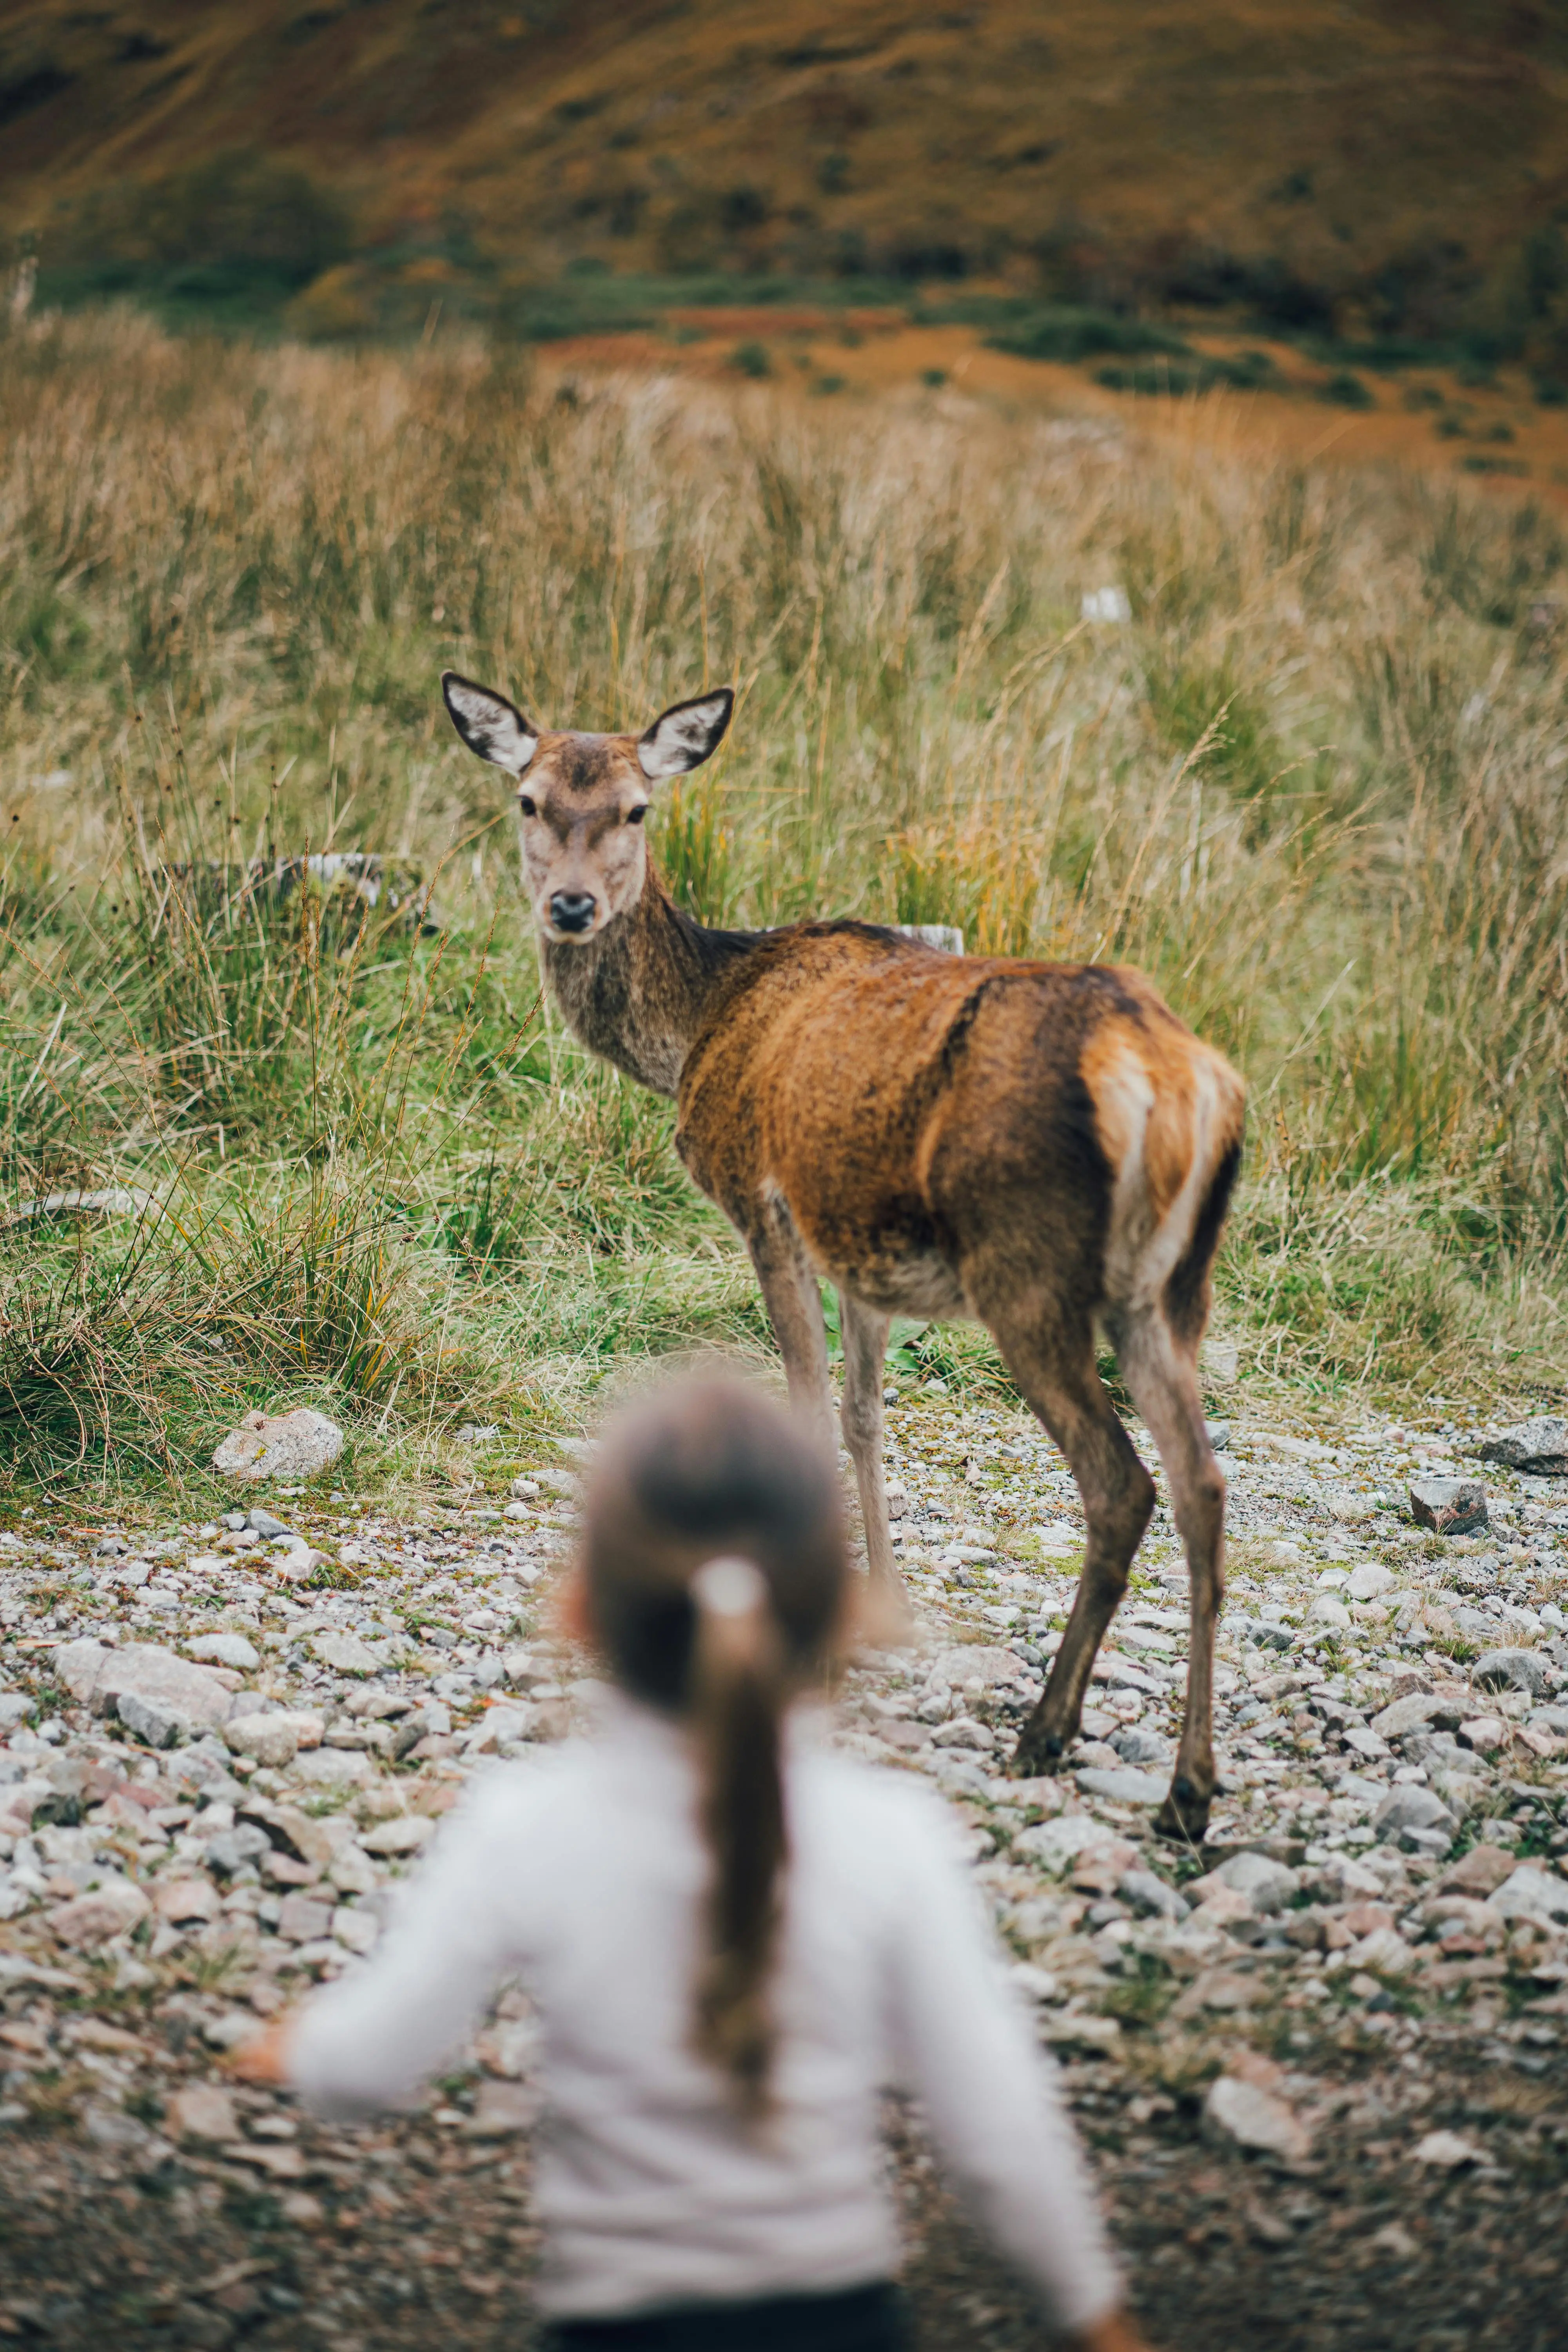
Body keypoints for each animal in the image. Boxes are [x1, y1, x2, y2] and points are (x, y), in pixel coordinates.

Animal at [441, 670, 1245, 1843]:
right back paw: (1187, 1789)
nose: (574, 906)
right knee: (1203, 1486)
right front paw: (886, 1600)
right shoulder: (859, 1243)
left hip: (1029, 1269)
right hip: (1171, 1289)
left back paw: (1046, 1732)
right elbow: (867, 1413)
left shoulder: (757, 1191)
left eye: (637, 809)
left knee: (1122, 1485)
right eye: (530, 801)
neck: (697, 1027)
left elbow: (807, 1393)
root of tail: (1167, 1073)